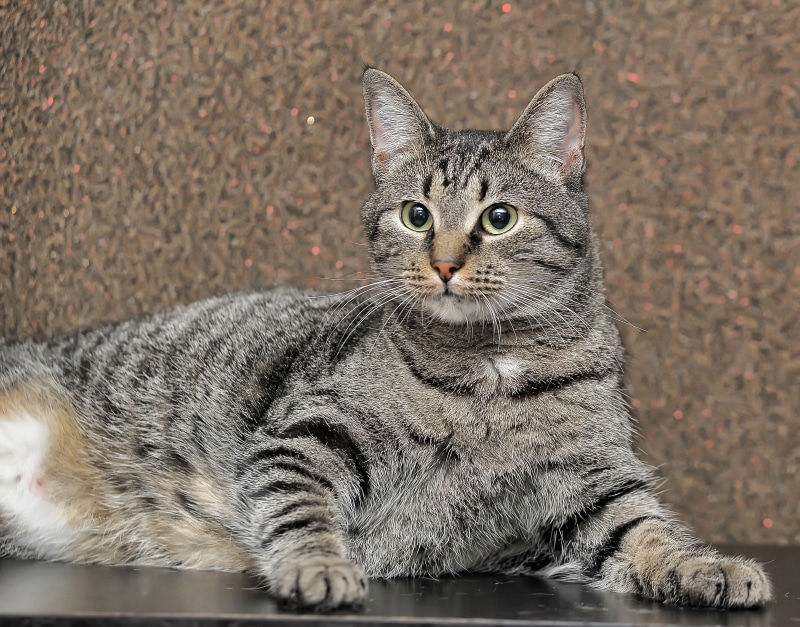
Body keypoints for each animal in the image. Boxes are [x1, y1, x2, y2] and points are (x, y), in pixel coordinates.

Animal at [1, 70, 776, 612]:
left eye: (498, 218)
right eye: (416, 214)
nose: (445, 262)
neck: (490, 365)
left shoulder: (591, 480)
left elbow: (647, 530)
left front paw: (706, 564)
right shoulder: (307, 432)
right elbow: (299, 508)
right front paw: (318, 567)